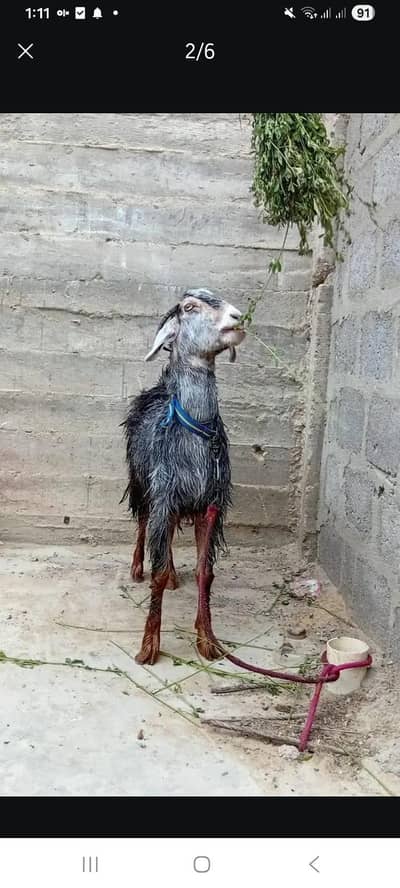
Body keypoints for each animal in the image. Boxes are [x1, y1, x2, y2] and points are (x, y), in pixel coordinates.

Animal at [122, 288, 245, 665]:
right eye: (190, 307)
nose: (238, 317)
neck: (195, 432)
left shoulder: (211, 504)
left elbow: (206, 573)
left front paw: (207, 640)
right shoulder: (163, 494)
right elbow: (157, 571)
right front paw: (148, 647)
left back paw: (176, 575)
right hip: (141, 481)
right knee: (143, 522)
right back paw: (137, 567)